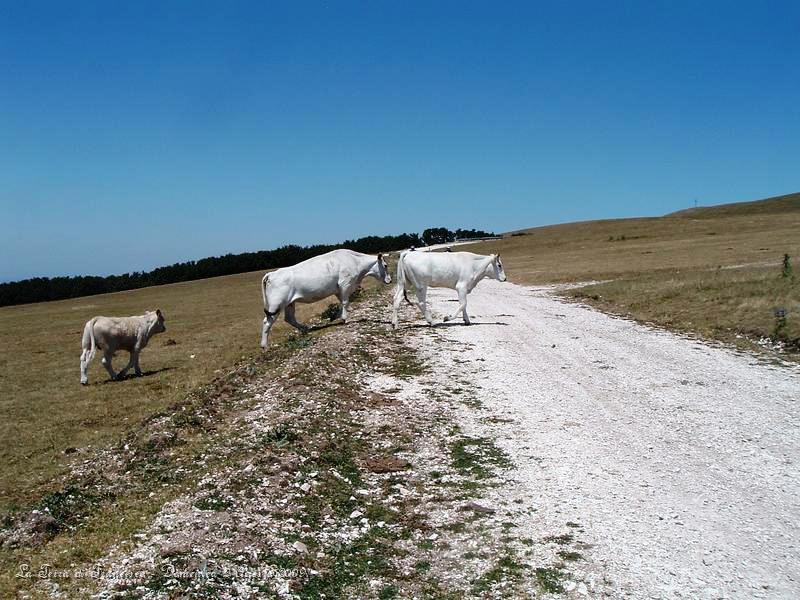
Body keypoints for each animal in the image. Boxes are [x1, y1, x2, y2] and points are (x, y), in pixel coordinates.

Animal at [260, 248, 390, 350]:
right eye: (385, 265)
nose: (390, 280)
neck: (355, 262)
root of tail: (272, 274)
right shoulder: (345, 284)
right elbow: (345, 302)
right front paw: (344, 319)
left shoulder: (339, 289)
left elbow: (343, 303)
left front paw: (335, 317)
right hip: (276, 303)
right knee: (267, 321)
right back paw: (264, 346)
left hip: (289, 303)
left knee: (289, 318)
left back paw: (305, 329)